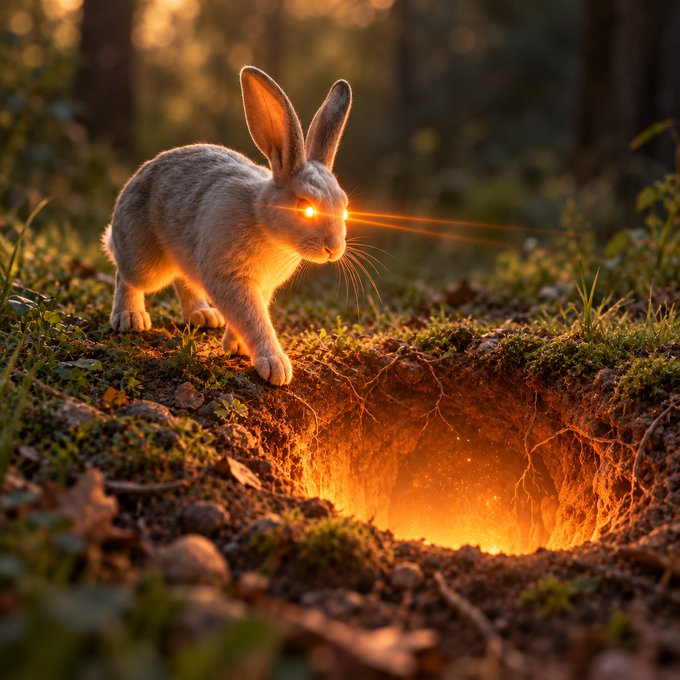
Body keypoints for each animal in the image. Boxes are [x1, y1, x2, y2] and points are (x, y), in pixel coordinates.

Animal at [102, 66, 352, 386]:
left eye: (345, 207)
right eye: (305, 208)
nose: (334, 248)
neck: (263, 220)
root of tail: (136, 179)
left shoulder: (261, 287)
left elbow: (247, 319)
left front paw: (236, 347)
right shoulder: (231, 281)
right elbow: (253, 320)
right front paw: (275, 366)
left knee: (182, 280)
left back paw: (203, 316)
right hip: (145, 262)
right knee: (126, 275)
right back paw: (129, 318)